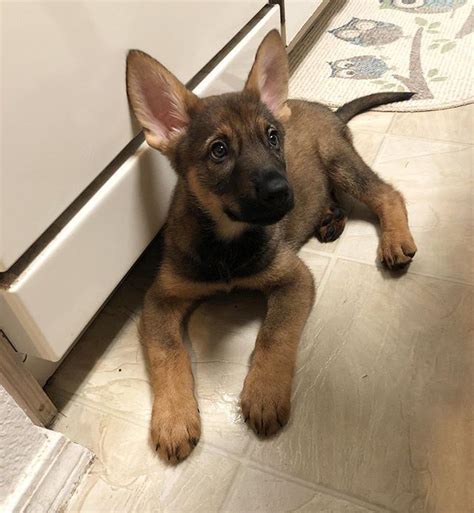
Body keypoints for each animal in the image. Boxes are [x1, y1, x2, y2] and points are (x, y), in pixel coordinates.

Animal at [127, 30, 418, 462]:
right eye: (218, 150)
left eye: (272, 138)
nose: (283, 192)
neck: (228, 243)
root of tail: (327, 111)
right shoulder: (161, 299)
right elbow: (168, 352)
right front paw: (174, 417)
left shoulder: (293, 278)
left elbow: (274, 335)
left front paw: (264, 394)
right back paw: (328, 217)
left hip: (339, 163)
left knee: (386, 193)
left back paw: (395, 239)